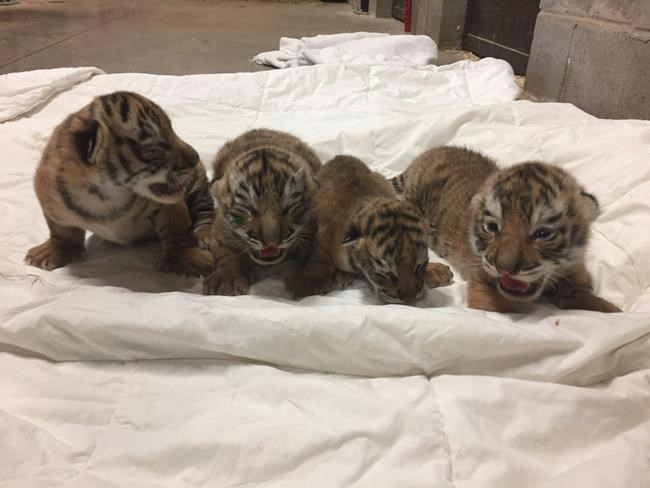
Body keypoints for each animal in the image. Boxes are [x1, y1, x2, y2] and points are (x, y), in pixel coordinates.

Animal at [24, 91, 214, 277]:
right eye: (156, 147)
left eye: (172, 130)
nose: (196, 158)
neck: (104, 194)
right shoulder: (50, 200)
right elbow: (61, 233)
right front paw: (56, 252)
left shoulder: (168, 206)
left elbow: (177, 231)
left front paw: (187, 259)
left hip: (198, 187)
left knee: (205, 213)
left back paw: (206, 237)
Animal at [203, 128, 322, 296]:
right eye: (249, 209)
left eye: (288, 208)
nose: (271, 241)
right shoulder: (219, 231)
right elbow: (226, 252)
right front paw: (226, 280)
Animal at [285, 155, 453, 303]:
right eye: (388, 274)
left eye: (419, 267)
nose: (410, 299)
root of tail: (340, 156)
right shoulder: (323, 241)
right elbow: (318, 263)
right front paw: (302, 282)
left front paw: (436, 271)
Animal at [394, 145, 621, 313]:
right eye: (492, 227)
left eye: (542, 233)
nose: (504, 268)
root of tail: (428, 153)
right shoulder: (483, 288)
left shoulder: (574, 270)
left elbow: (584, 293)